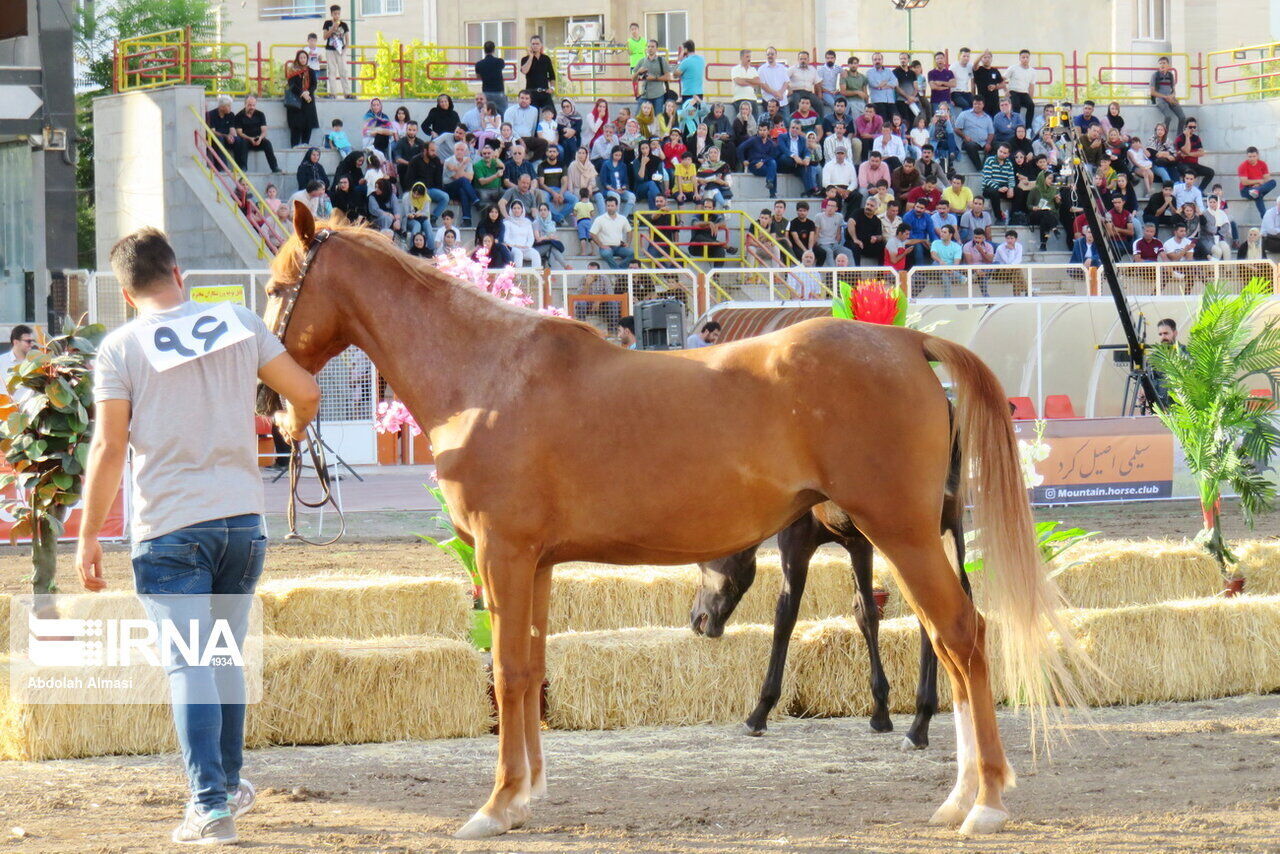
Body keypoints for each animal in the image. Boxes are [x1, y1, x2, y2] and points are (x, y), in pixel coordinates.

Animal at [267, 203, 1080, 839]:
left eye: (278, 289)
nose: (269, 401)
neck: (488, 376)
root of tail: (908, 340)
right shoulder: (535, 563)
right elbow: (531, 670)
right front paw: (525, 794)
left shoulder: (504, 556)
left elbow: (508, 669)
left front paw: (495, 806)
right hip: (905, 539)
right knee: (947, 644)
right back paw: (959, 796)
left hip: (902, 536)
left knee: (964, 637)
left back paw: (986, 802)